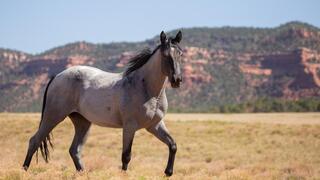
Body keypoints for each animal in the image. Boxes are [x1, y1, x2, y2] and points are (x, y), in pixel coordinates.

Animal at [21, 30, 182, 176]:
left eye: (180, 54)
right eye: (165, 55)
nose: (177, 80)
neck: (147, 89)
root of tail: (57, 76)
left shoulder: (154, 125)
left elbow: (173, 145)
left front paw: (168, 172)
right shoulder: (130, 126)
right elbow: (126, 156)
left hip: (82, 122)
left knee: (74, 150)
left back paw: (83, 173)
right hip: (53, 117)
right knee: (34, 141)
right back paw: (24, 171)